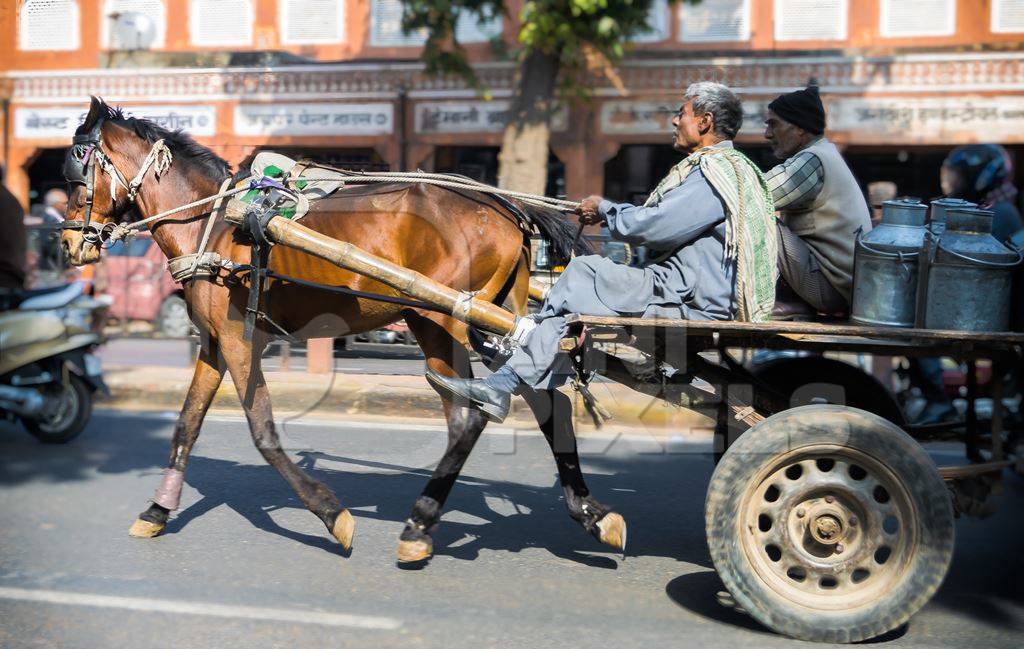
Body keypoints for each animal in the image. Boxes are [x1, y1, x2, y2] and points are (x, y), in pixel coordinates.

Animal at [64, 96, 626, 560]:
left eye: (76, 173)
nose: (69, 244)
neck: (214, 223)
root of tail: (507, 207)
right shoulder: (213, 343)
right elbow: (186, 424)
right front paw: (157, 511)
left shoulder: (239, 340)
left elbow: (263, 431)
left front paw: (331, 515)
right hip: (489, 320)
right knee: (538, 404)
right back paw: (589, 514)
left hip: (443, 317)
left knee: (475, 413)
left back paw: (421, 524)